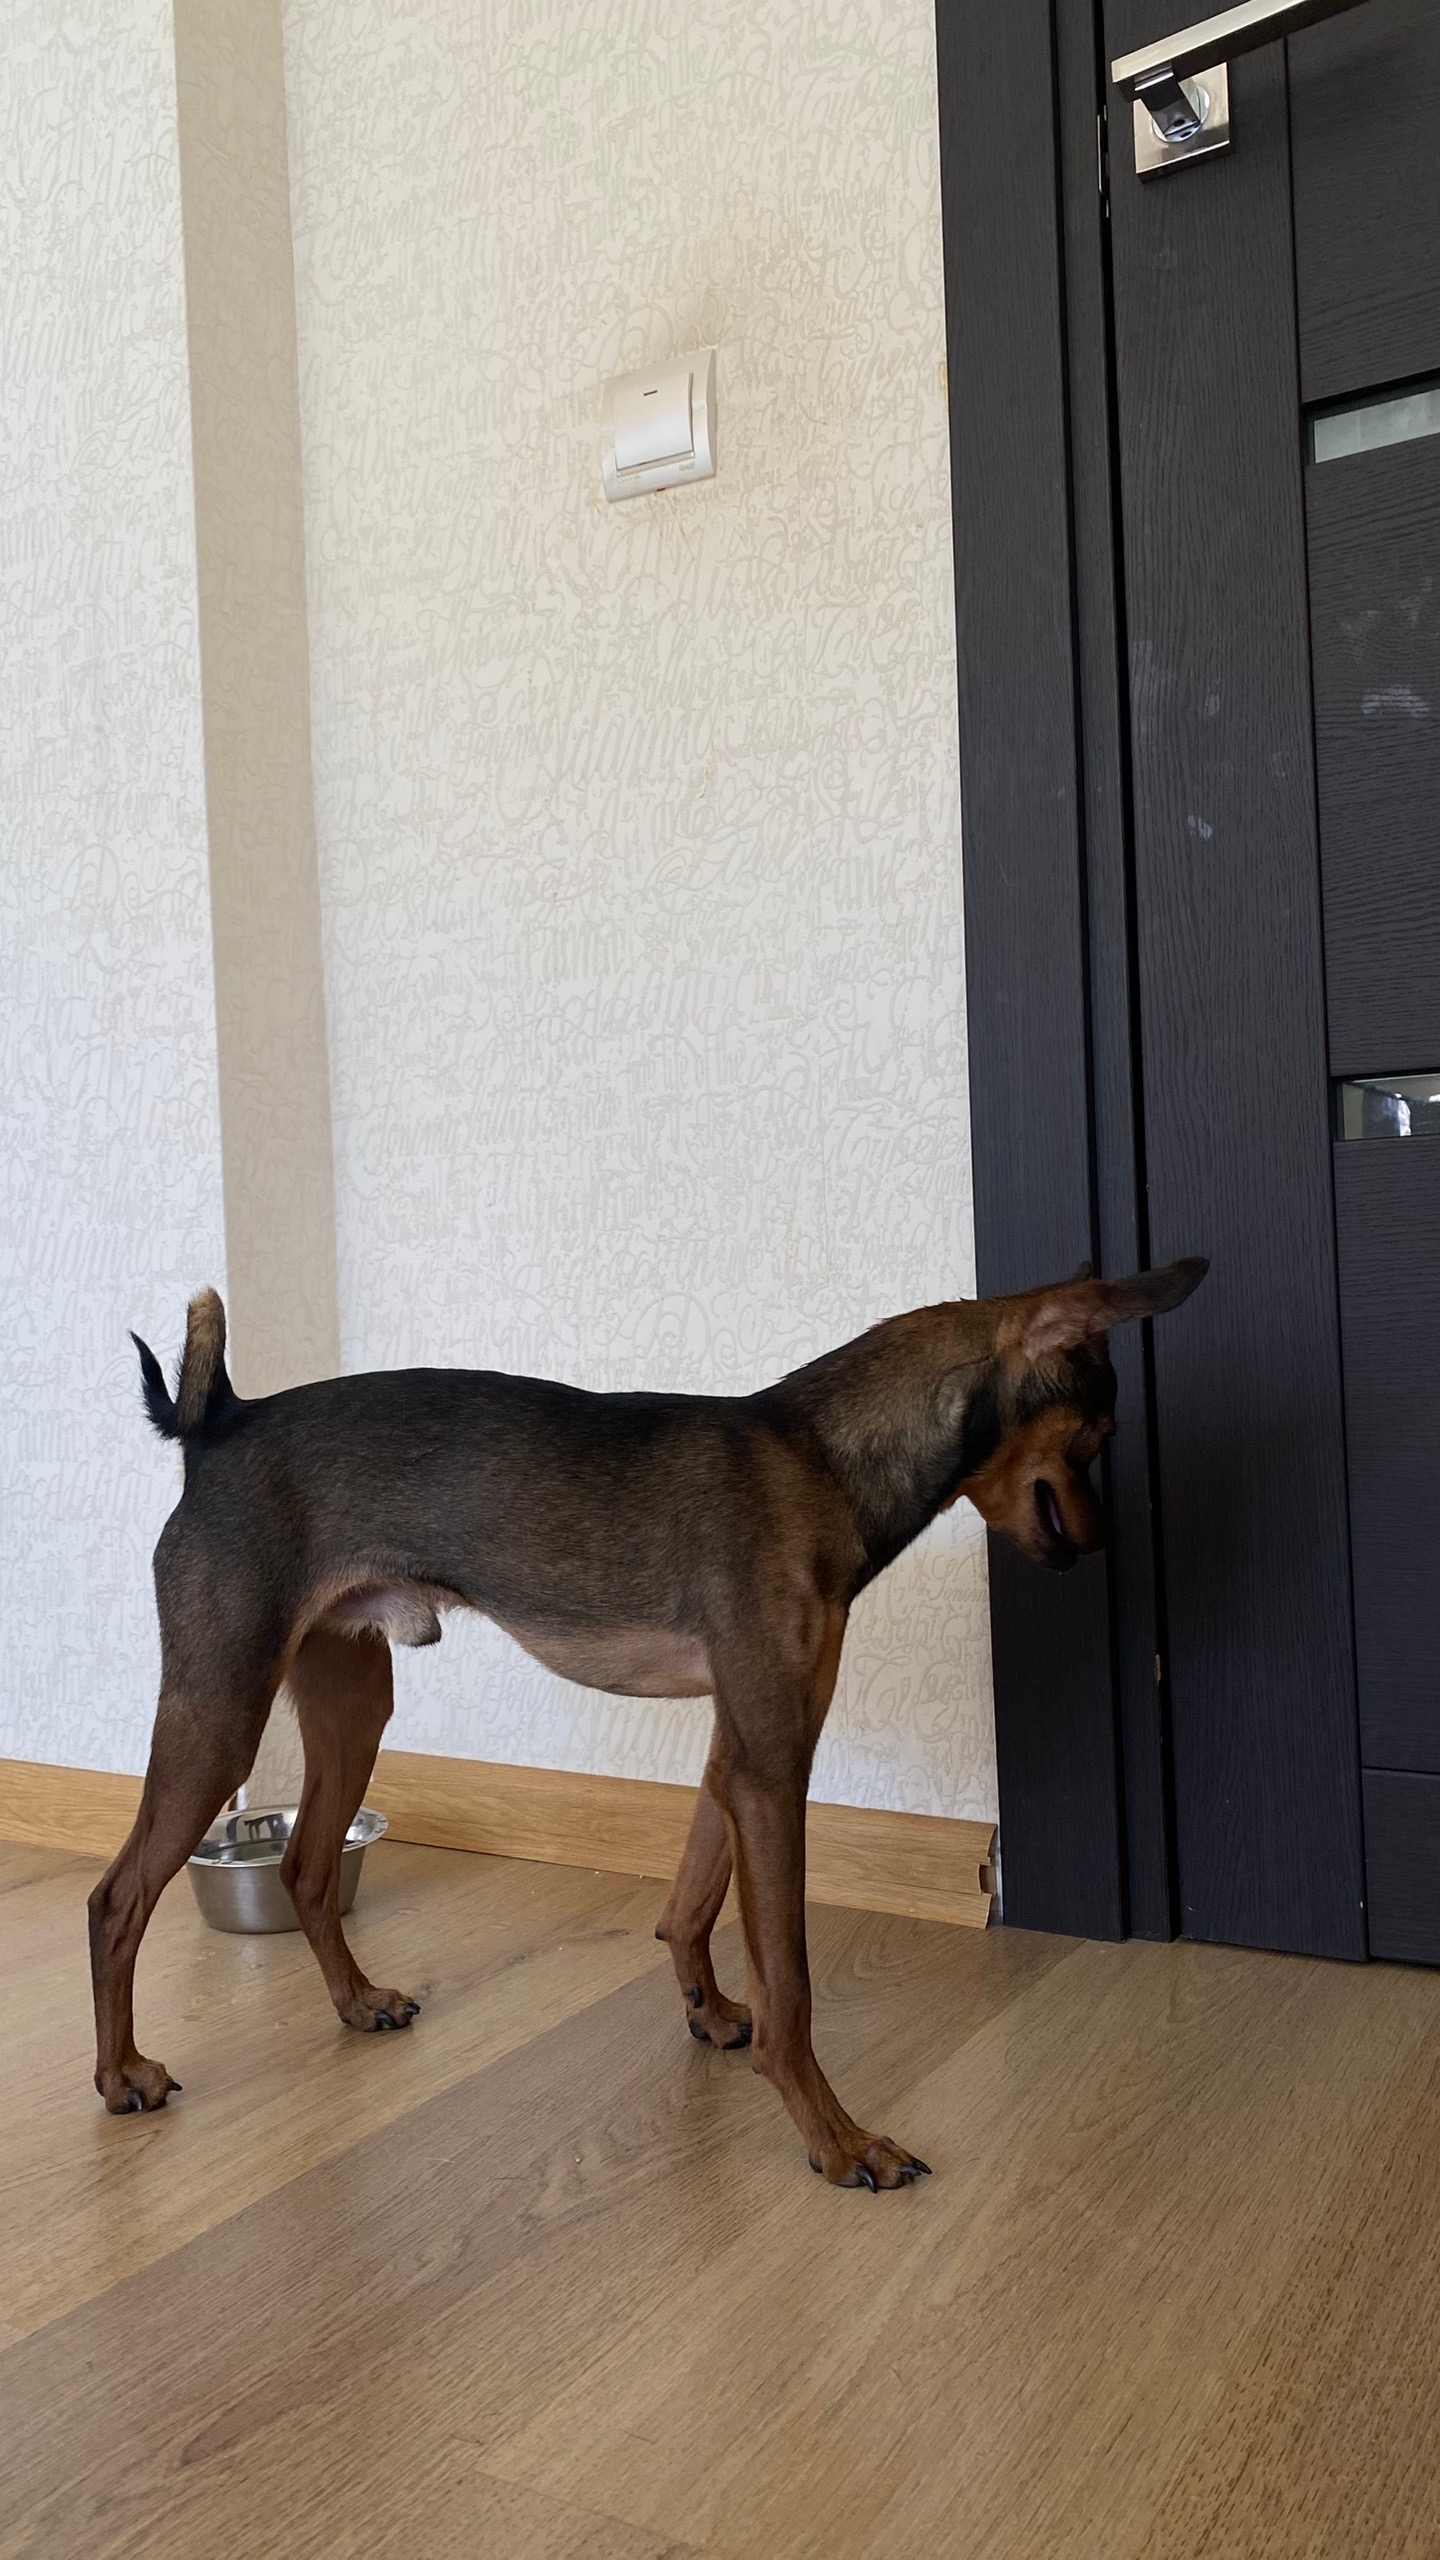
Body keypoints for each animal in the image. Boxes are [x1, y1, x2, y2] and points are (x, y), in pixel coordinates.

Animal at [90, 1254, 1206, 2185]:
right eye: (1097, 1440)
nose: (1099, 1546)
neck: (820, 1459)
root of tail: (221, 1425)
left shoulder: (742, 1746)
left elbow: (691, 1903)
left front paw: (710, 2013)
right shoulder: (771, 1761)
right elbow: (792, 1981)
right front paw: (837, 2139)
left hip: (352, 1704)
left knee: (306, 1868)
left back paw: (357, 2003)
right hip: (220, 1711)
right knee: (116, 1899)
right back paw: (122, 2076)